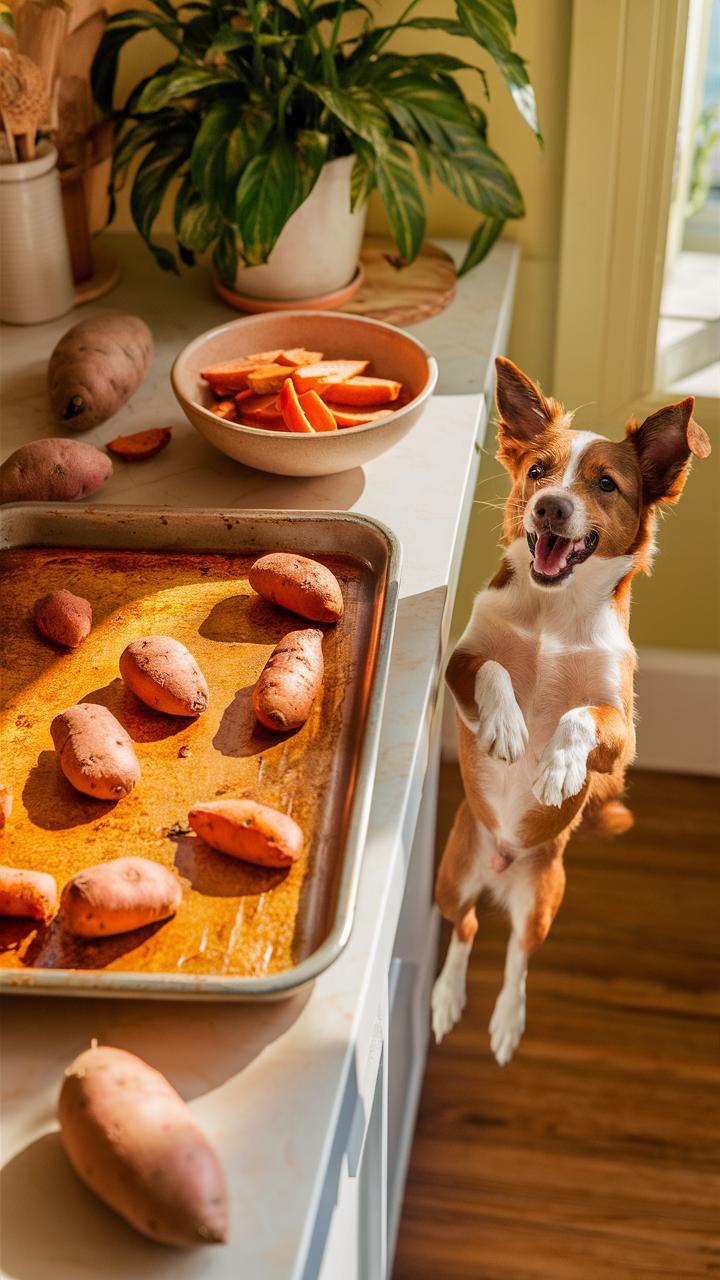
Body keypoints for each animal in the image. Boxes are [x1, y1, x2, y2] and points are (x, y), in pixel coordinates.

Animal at [427, 355, 707, 1064]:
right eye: (537, 471)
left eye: (605, 484)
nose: (551, 506)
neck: (553, 615)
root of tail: (501, 866)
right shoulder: (460, 663)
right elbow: (496, 669)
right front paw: (507, 728)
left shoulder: (623, 732)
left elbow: (580, 718)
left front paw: (555, 769)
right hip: (451, 875)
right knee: (466, 927)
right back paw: (445, 998)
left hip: (544, 899)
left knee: (517, 956)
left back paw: (507, 1021)